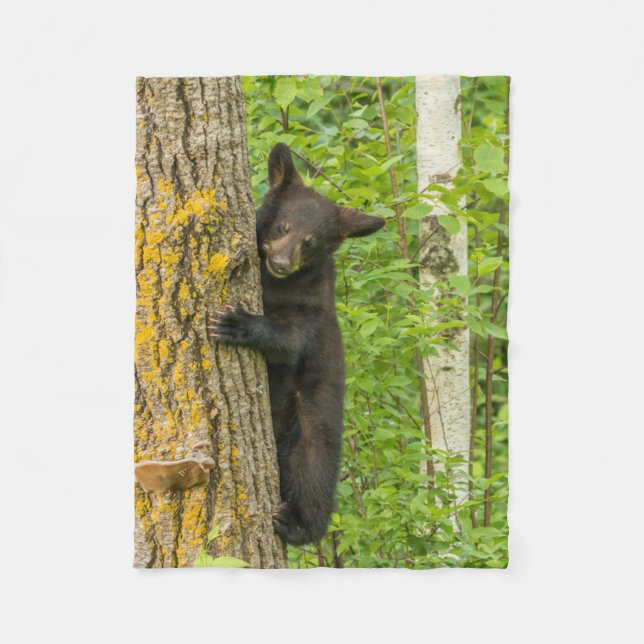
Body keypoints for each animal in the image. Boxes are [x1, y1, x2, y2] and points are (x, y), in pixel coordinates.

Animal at [209, 143, 385, 545]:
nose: (280, 262)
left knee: (311, 478)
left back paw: (296, 524)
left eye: (310, 242)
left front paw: (237, 323)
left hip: (311, 430)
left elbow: (289, 340)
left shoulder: (311, 307)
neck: (277, 284)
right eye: (282, 226)